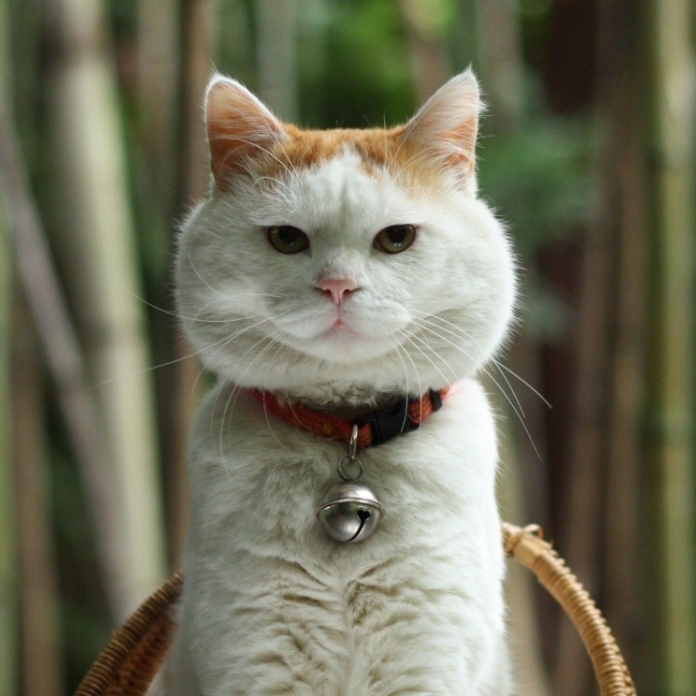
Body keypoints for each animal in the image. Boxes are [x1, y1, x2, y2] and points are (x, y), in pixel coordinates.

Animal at [167, 68, 516, 692]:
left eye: (397, 238)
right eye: (287, 239)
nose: (337, 286)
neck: (347, 429)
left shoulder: (429, 660)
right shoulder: (255, 657)